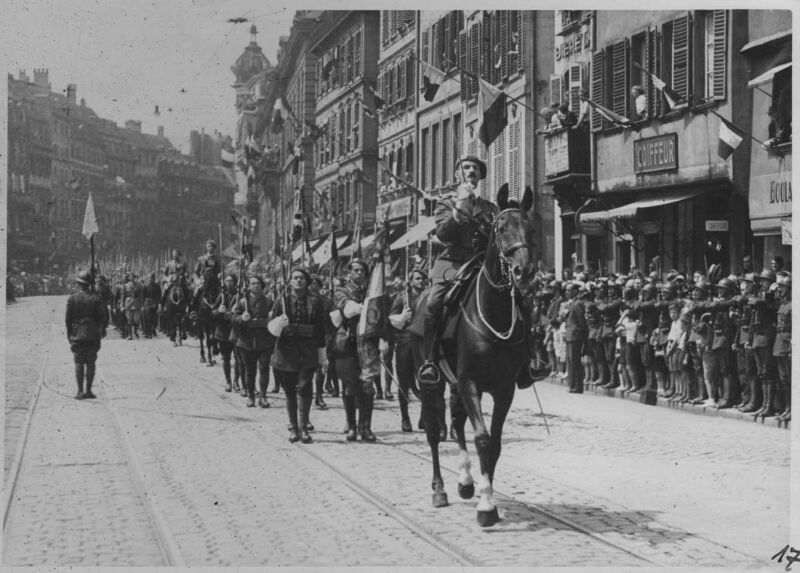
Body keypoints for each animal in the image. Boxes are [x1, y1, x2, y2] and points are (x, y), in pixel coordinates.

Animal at [410, 184, 536, 528]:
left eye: (530, 228)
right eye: (501, 228)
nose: (524, 270)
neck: (493, 312)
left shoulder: (504, 389)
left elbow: (493, 443)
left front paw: (483, 492)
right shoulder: (470, 383)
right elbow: (481, 438)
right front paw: (486, 506)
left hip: (454, 384)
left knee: (455, 420)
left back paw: (465, 481)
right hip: (431, 381)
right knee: (434, 431)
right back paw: (439, 490)